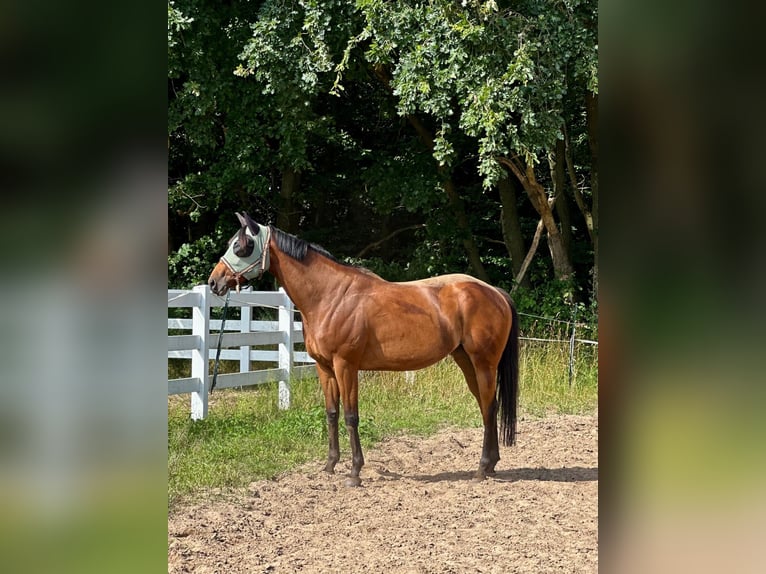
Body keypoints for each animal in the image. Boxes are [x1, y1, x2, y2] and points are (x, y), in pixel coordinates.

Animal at [208, 214, 520, 488]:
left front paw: (355, 473)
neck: (331, 296)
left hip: (483, 363)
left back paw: (481, 469)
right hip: (465, 360)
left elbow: (351, 416)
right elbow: (332, 413)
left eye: (242, 246)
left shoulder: (346, 366)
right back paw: (491, 465)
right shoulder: (325, 368)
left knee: (489, 406)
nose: (214, 282)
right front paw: (330, 465)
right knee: (488, 406)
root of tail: (495, 292)